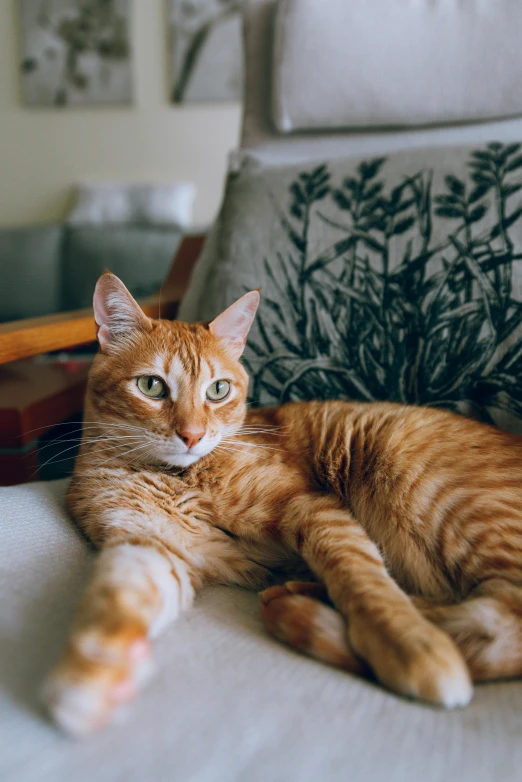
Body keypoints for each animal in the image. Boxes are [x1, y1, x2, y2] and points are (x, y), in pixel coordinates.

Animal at [42, 272, 520, 740]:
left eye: (218, 390)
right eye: (151, 386)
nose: (192, 435)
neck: (178, 478)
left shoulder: (309, 508)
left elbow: (365, 583)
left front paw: (410, 647)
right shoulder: (148, 543)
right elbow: (115, 599)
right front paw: (89, 675)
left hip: (438, 492)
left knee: (500, 619)